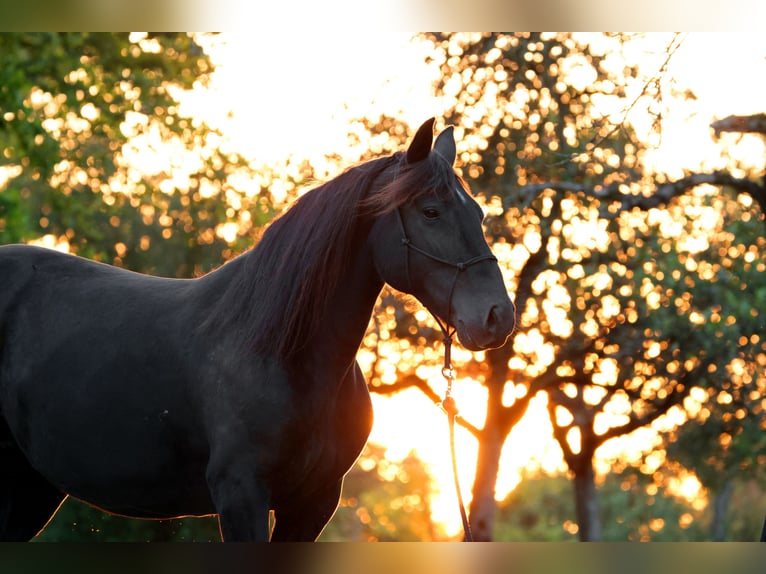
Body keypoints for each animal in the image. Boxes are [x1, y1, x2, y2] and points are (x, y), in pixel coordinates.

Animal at [1, 119, 516, 544]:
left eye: (478, 213)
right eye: (430, 212)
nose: (498, 317)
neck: (282, 353)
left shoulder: (313, 503)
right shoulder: (241, 495)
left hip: (30, 489)